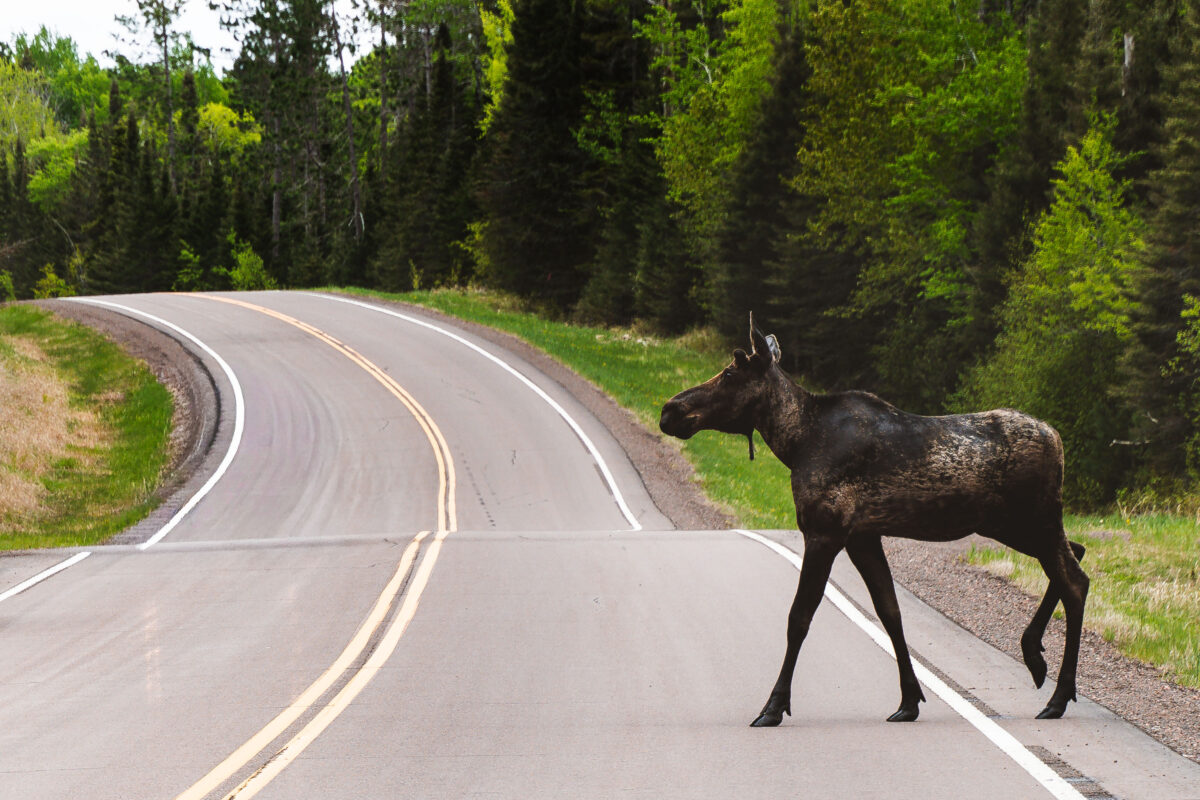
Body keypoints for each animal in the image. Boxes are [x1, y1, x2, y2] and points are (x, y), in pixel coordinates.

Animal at [659, 315, 1089, 726]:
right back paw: (1035, 656)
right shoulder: (862, 536)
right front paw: (909, 701)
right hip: (1008, 525)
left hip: (1033, 519)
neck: (795, 442)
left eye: (731, 372)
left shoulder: (825, 531)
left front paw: (773, 706)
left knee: (1075, 579)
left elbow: (799, 617)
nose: (669, 410)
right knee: (1078, 553)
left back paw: (1057, 695)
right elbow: (889, 611)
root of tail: (1058, 440)